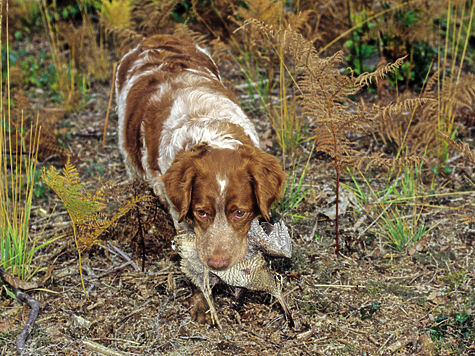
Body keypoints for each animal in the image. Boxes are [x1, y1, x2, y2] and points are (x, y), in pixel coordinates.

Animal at [115, 34, 286, 324]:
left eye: (240, 212)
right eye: (201, 213)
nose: (218, 263)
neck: (210, 129)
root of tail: (156, 37)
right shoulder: (181, 217)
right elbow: (193, 260)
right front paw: (203, 303)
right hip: (128, 153)